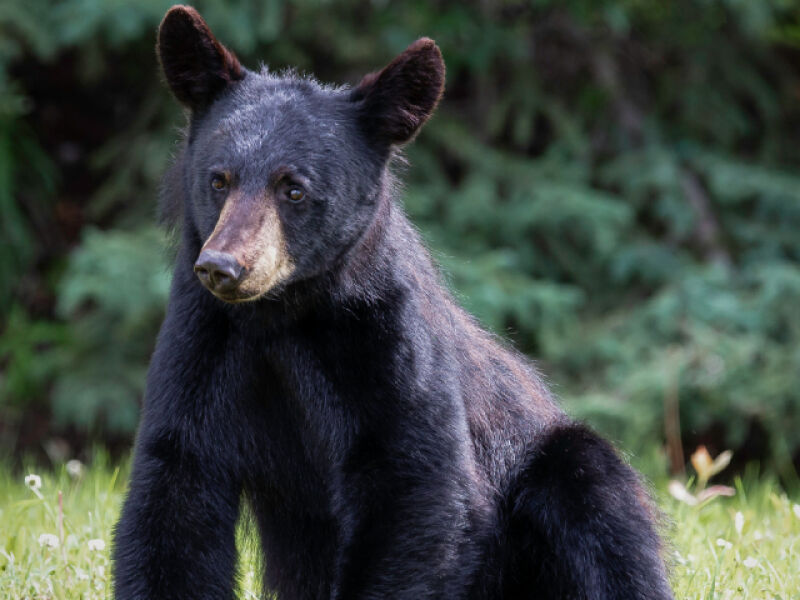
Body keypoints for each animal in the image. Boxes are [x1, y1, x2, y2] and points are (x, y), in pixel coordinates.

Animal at [112, 5, 675, 600]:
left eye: (294, 189)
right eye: (219, 179)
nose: (222, 266)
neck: (283, 316)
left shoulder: (386, 338)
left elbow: (415, 485)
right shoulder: (202, 338)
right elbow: (176, 487)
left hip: (557, 464)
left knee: (598, 504)